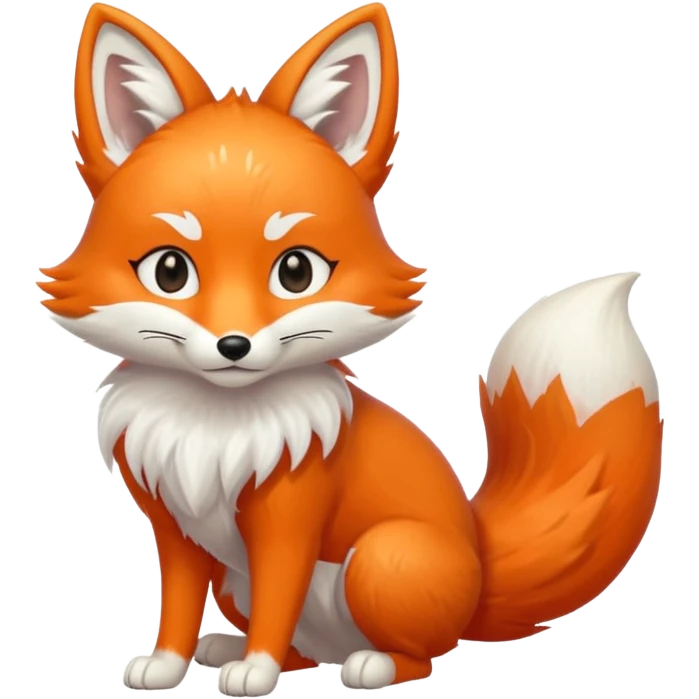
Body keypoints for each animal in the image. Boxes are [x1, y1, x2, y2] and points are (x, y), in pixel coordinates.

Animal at [36, 2, 663, 696]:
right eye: (170, 272)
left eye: (296, 272)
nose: (234, 344)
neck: (215, 431)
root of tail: (479, 565)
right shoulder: (176, 531)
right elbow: (175, 605)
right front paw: (169, 665)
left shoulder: (289, 523)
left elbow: (278, 601)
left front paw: (256, 672)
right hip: (236, 583)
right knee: (305, 650)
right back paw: (235, 649)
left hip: (383, 560)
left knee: (423, 655)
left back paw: (367, 664)